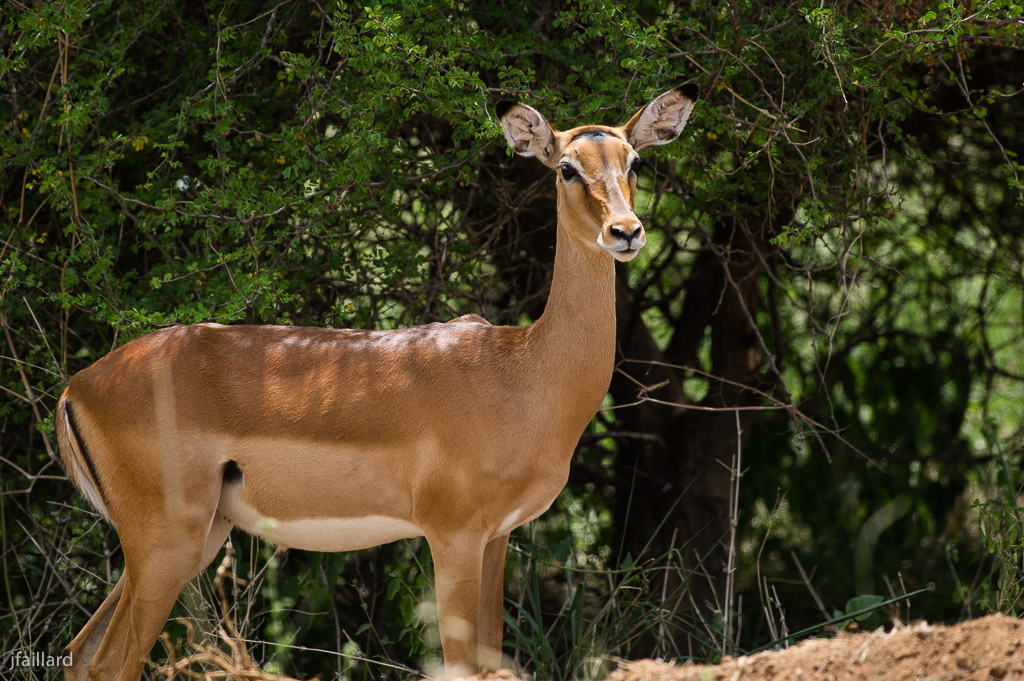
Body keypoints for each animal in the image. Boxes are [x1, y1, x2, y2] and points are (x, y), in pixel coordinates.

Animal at [56, 86, 696, 679]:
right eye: (566, 166)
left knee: (79, 652)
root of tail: (76, 387)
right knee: (110, 662)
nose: (626, 231)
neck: (520, 373)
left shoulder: (497, 538)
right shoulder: (453, 536)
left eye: (634, 160)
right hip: (167, 547)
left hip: (188, 543)